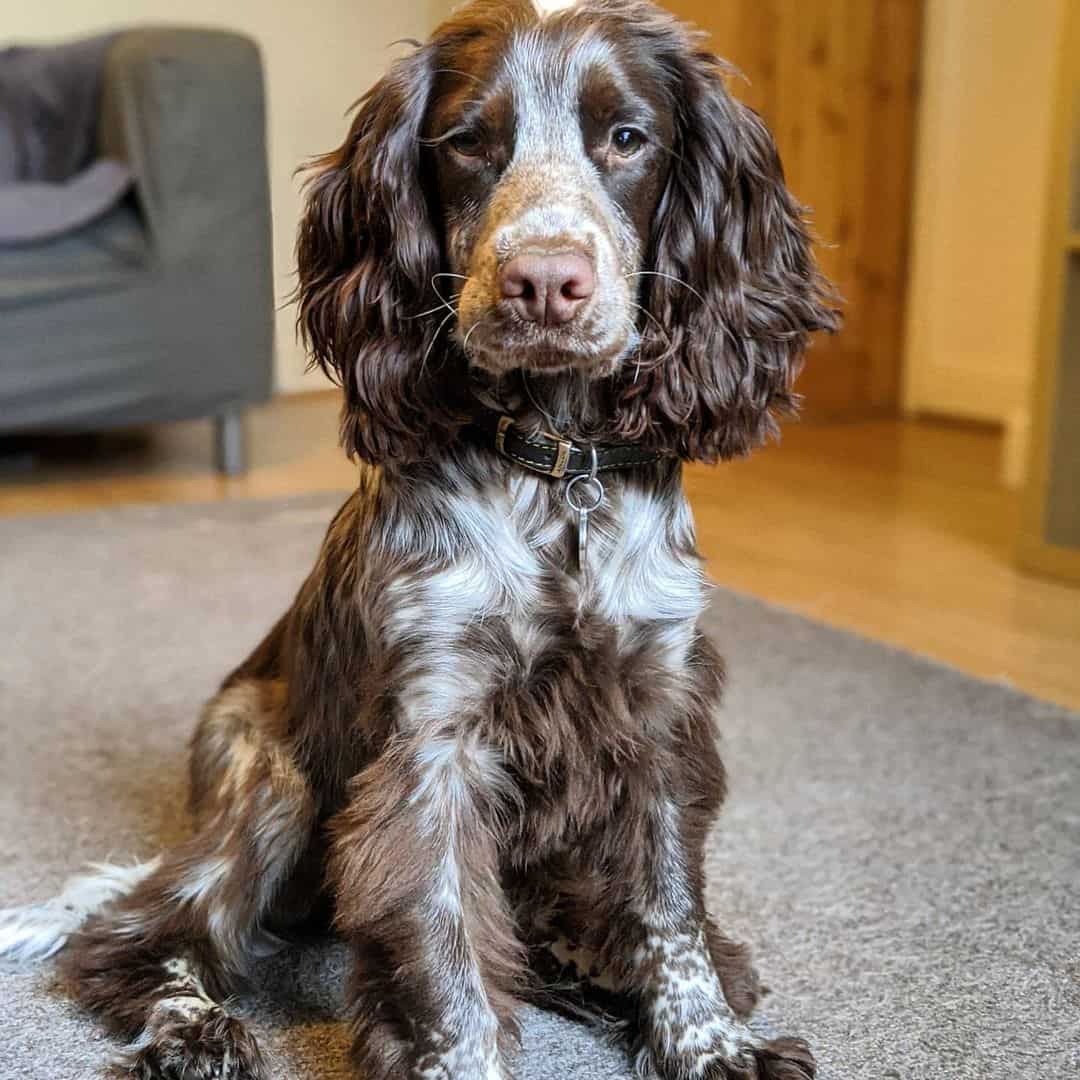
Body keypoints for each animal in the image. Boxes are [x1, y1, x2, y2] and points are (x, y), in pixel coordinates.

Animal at [0, 2, 833, 1080]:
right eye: (468, 143)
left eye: (627, 138)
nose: (543, 282)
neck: (553, 471)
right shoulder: (431, 744)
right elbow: (447, 959)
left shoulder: (658, 712)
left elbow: (670, 911)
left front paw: (710, 1043)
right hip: (267, 782)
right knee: (146, 931)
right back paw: (192, 1029)